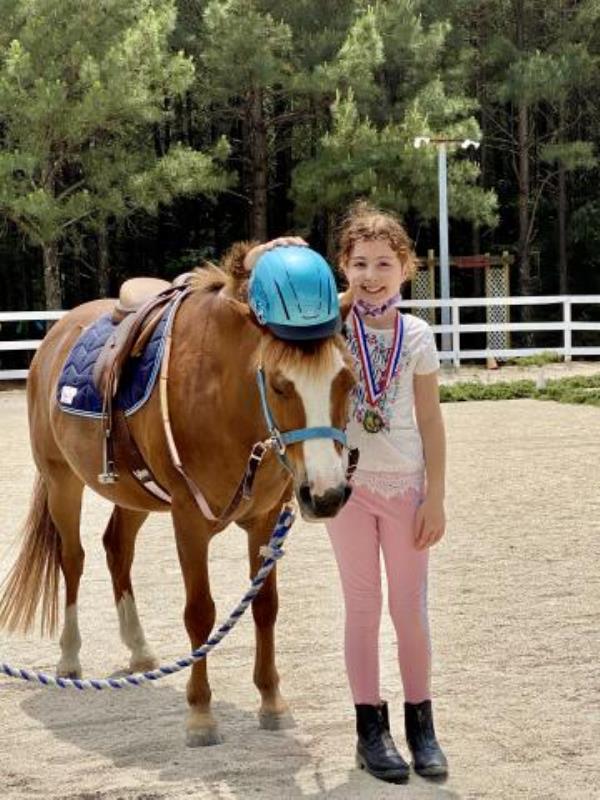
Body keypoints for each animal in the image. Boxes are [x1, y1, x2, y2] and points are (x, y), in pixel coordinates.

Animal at [0, 260, 356, 748]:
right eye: (281, 385)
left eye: (347, 380)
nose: (327, 494)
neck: (225, 399)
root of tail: (54, 337)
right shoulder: (189, 521)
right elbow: (199, 613)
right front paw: (201, 715)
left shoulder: (264, 520)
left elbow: (265, 606)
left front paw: (271, 702)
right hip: (61, 482)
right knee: (72, 559)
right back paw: (69, 659)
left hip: (133, 495)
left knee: (117, 548)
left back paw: (139, 650)